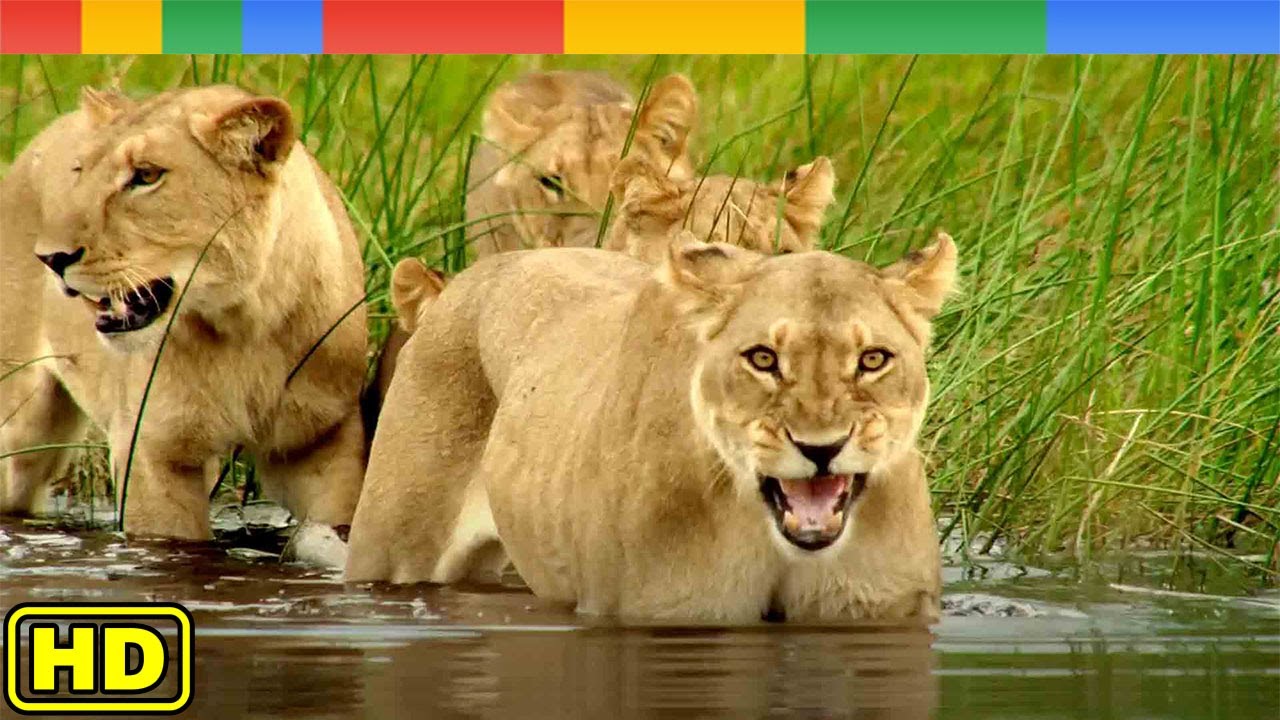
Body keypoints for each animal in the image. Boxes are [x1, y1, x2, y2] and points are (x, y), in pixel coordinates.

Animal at [0, 85, 368, 541]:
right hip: (20, 422)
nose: (50, 258)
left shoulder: (321, 441)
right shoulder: (153, 451)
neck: (244, 324)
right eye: (79, 172)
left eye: (146, 176)